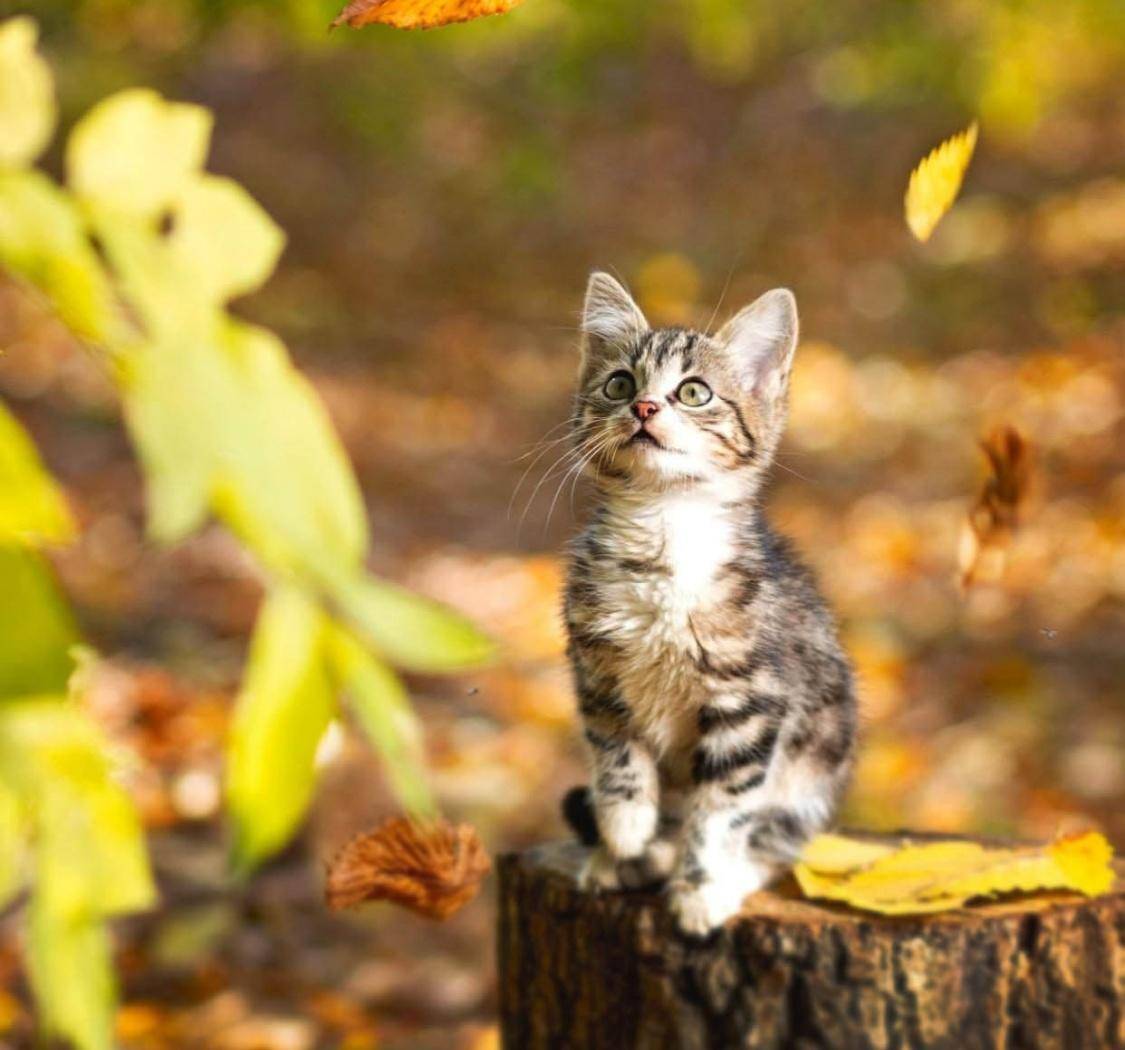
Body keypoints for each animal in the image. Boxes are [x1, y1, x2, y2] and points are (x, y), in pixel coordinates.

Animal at [558, 270, 855, 936]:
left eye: (694, 393)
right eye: (619, 384)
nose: (644, 407)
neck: (663, 532)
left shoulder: (753, 704)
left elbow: (719, 810)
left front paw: (700, 888)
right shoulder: (597, 674)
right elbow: (616, 753)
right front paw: (625, 829)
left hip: (818, 757)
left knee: (777, 840)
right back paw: (630, 858)